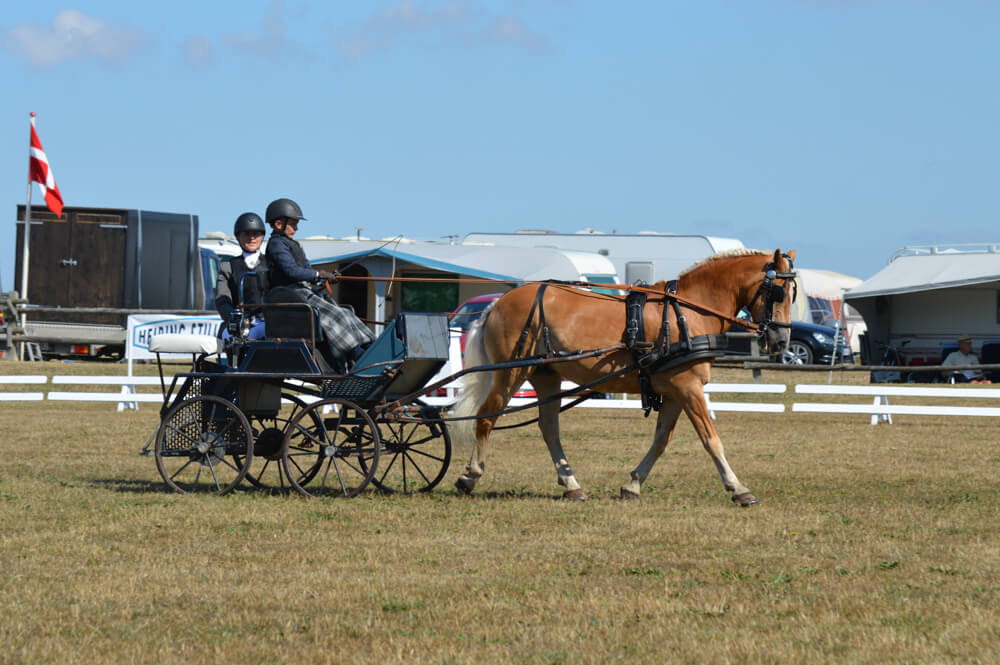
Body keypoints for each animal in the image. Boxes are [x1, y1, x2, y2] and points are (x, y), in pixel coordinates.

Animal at [456, 248, 796, 504]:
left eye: (793, 293)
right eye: (778, 293)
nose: (781, 342)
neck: (688, 313)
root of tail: (496, 303)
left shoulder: (675, 391)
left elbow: (661, 440)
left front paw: (632, 485)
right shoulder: (688, 387)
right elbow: (711, 440)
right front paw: (739, 488)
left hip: (545, 375)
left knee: (549, 428)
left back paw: (572, 485)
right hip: (510, 371)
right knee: (487, 416)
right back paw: (470, 475)